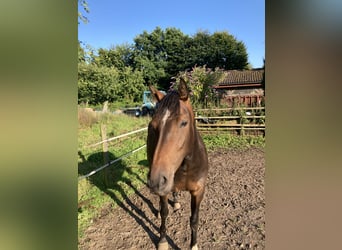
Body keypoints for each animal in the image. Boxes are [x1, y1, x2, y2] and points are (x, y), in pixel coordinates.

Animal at [146, 78, 208, 250]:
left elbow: (194, 219)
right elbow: (164, 212)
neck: (186, 167)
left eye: (184, 123)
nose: (156, 181)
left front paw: (194, 245)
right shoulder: (164, 188)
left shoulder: (199, 191)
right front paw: (162, 240)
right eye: (152, 125)